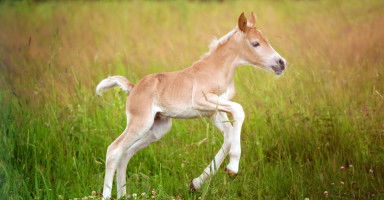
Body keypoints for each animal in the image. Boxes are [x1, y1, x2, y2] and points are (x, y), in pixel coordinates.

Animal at [97, 12, 286, 198]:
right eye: (255, 43)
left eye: (266, 40)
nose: (281, 63)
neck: (216, 69)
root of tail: (133, 87)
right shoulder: (203, 100)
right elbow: (239, 111)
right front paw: (232, 168)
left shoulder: (215, 112)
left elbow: (228, 136)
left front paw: (195, 184)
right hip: (140, 122)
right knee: (114, 150)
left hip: (158, 128)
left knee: (126, 153)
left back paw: (123, 194)